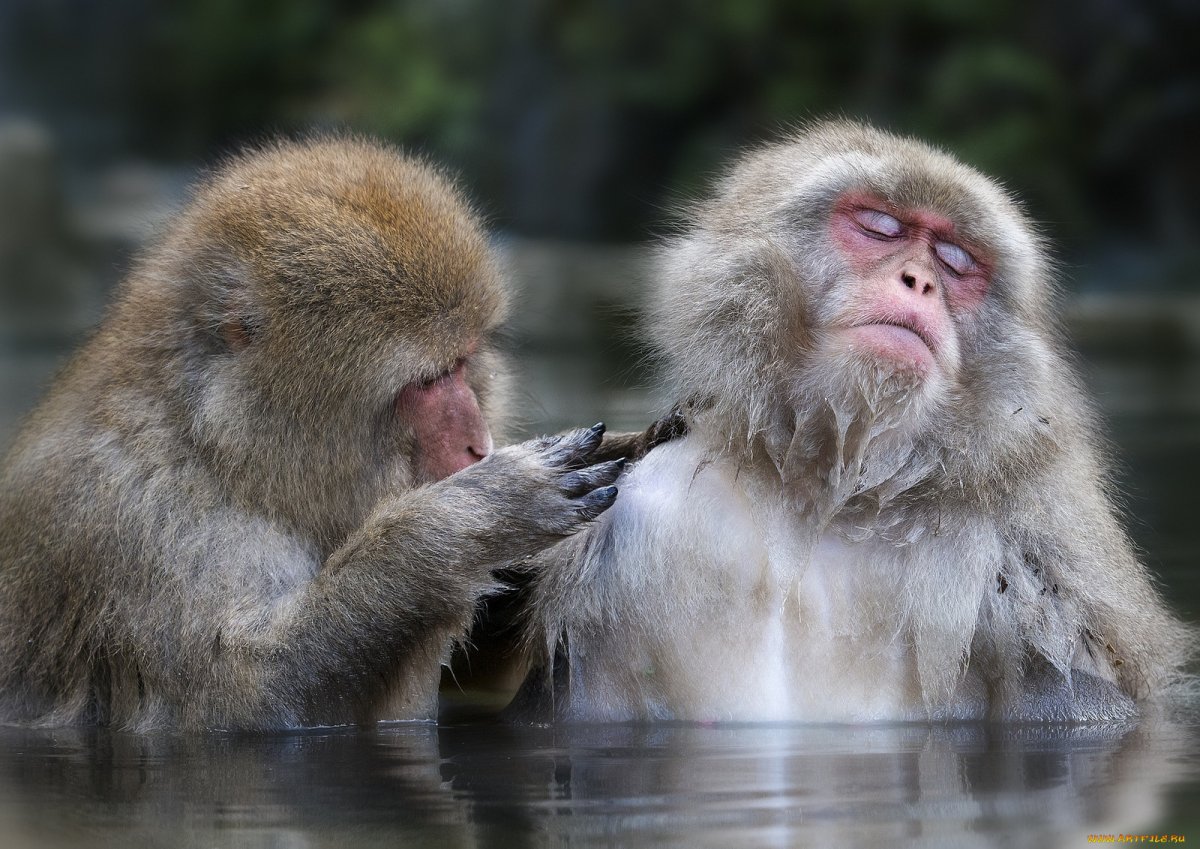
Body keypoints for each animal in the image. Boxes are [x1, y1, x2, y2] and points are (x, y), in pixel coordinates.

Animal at [0, 137, 657, 729]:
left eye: (464, 362)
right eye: (427, 380)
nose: (479, 445)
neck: (213, 446)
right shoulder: (134, 517)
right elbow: (252, 704)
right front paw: (468, 520)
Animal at [513, 121, 1190, 724]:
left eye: (955, 262)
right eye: (878, 227)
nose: (917, 282)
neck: (829, 487)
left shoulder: (1028, 566)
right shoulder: (641, 505)